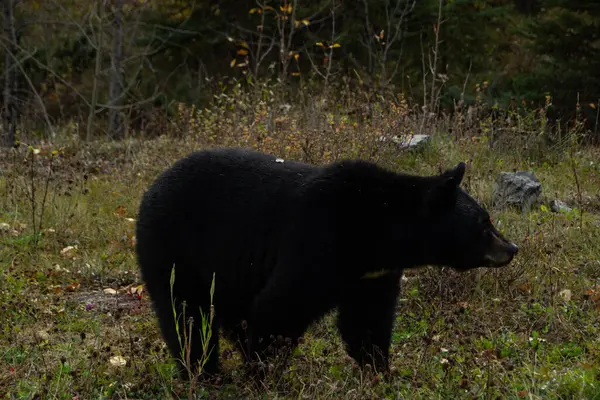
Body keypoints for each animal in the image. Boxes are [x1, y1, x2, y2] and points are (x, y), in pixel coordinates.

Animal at [134, 148, 516, 378]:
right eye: (484, 223)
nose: (512, 247)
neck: (378, 228)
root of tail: (150, 188)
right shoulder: (317, 240)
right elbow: (278, 307)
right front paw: (265, 375)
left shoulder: (371, 274)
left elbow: (366, 322)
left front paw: (379, 372)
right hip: (175, 250)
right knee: (186, 317)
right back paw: (204, 373)